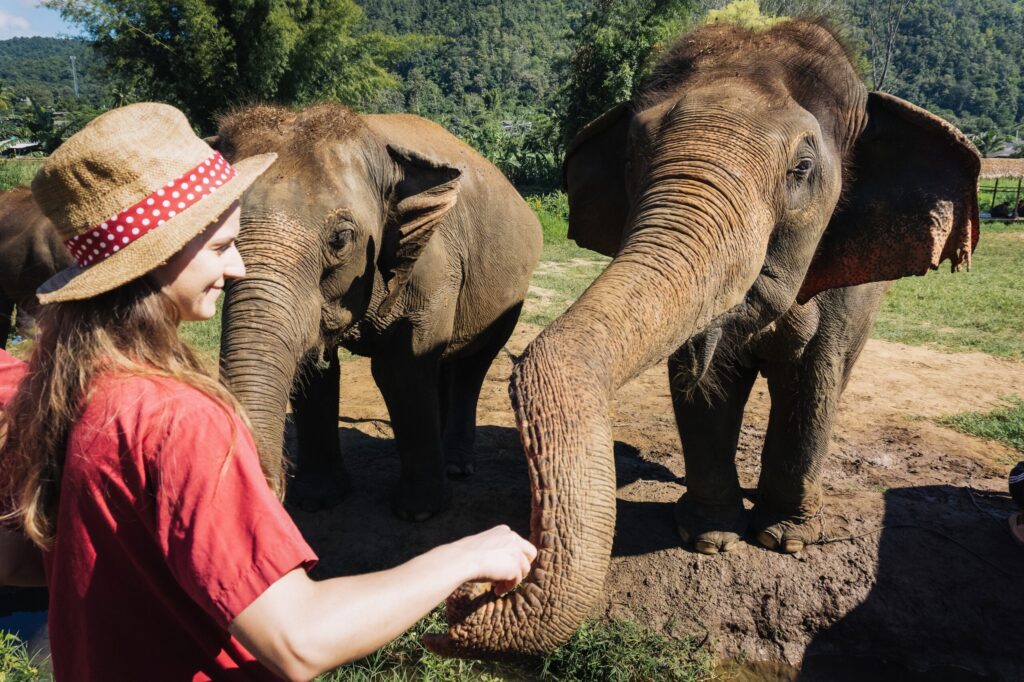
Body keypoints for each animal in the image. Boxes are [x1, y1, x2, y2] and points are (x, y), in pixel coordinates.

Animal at [214, 103, 543, 519]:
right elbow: (314, 372)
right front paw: (317, 500)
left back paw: (455, 465)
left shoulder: (433, 267)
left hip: (509, 291)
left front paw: (419, 513)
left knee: (472, 364)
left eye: (340, 239)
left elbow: (399, 369)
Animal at [423, 19, 980, 657]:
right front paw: (709, 537)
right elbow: (701, 384)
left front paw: (785, 541)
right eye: (633, 156)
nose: (467, 599)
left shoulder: (842, 284)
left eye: (802, 168)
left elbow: (813, 375)